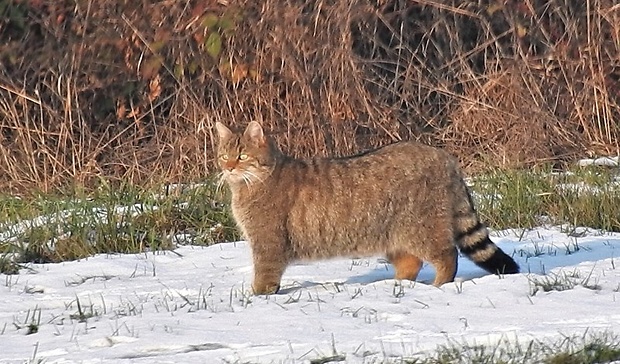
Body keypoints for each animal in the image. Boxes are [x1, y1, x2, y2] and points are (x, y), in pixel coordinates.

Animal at [213, 121, 520, 294]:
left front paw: (258, 296)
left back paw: (437, 285)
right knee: (411, 262)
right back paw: (397, 285)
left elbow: (264, 275)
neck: (249, 185)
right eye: (223, 155)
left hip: (421, 228)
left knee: (447, 256)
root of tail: (445, 157)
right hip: (394, 235)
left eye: (242, 156)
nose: (228, 167)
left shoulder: (268, 242)